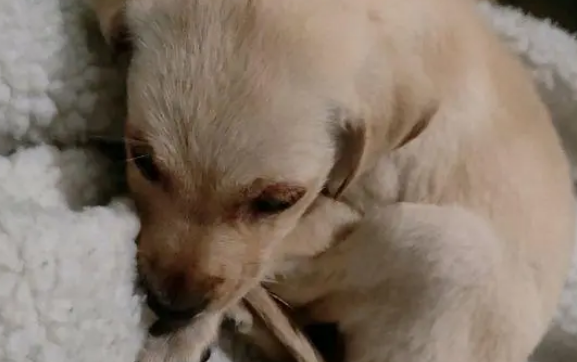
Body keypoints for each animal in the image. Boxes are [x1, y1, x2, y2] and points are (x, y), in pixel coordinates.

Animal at [88, 0, 572, 362]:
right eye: (144, 161)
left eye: (277, 202)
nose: (170, 307)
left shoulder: (335, 209)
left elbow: (256, 264)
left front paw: (178, 339)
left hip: (445, 241)